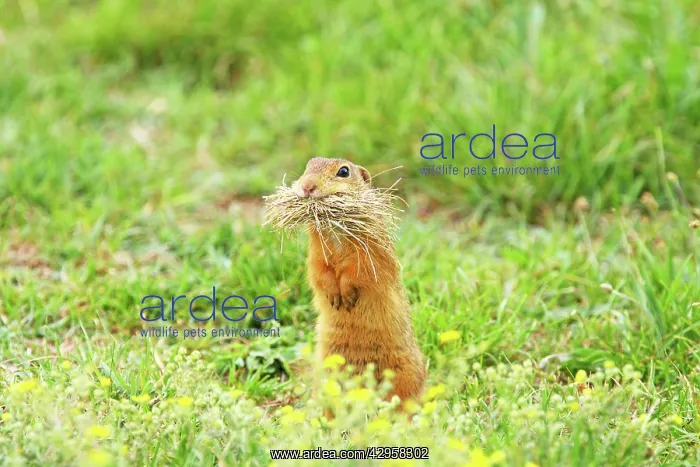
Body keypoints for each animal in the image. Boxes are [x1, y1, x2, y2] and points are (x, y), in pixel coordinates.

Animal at [292, 157, 426, 404]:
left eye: (344, 171)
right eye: (309, 165)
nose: (307, 187)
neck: (335, 232)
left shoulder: (371, 252)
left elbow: (358, 271)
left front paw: (345, 294)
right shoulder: (315, 254)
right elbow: (319, 273)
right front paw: (334, 296)